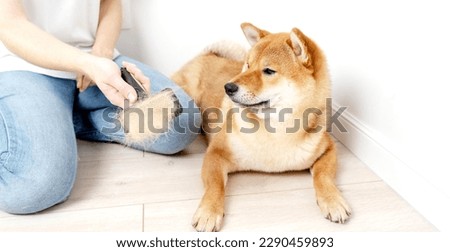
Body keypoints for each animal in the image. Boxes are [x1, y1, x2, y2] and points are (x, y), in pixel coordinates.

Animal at [171, 22, 350, 231]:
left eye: (269, 71)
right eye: (248, 65)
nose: (228, 87)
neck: (274, 131)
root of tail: (208, 54)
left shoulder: (328, 148)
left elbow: (323, 176)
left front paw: (333, 201)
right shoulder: (216, 153)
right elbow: (215, 185)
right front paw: (209, 211)